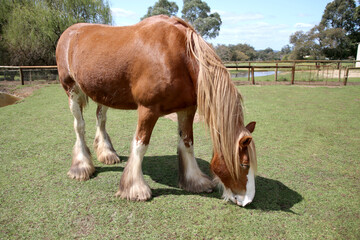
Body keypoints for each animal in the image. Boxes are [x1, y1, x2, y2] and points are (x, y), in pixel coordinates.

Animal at [56, 15, 258, 206]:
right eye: (244, 164)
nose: (247, 200)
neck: (179, 54)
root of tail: (69, 32)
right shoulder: (148, 110)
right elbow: (140, 145)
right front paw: (135, 188)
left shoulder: (187, 109)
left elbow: (187, 143)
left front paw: (195, 181)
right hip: (72, 90)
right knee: (79, 126)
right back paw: (81, 167)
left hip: (102, 93)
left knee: (101, 119)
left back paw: (107, 154)